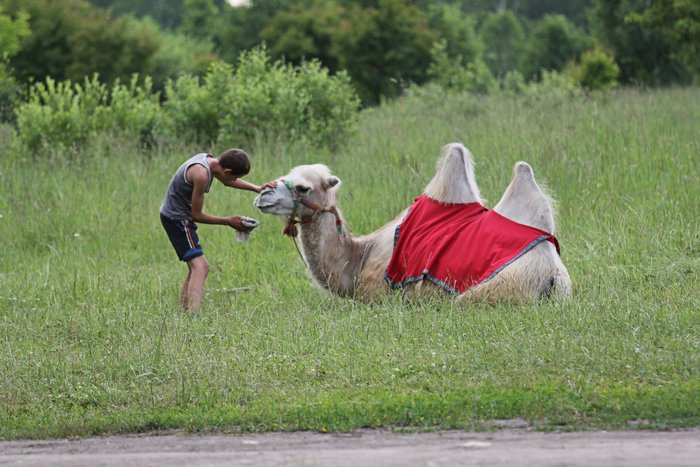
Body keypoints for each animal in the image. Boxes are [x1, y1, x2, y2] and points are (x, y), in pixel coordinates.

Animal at [254, 144, 572, 304]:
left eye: (303, 187)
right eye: (285, 174)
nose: (263, 194)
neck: (359, 257)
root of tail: (554, 276)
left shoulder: (379, 297)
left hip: (487, 293)